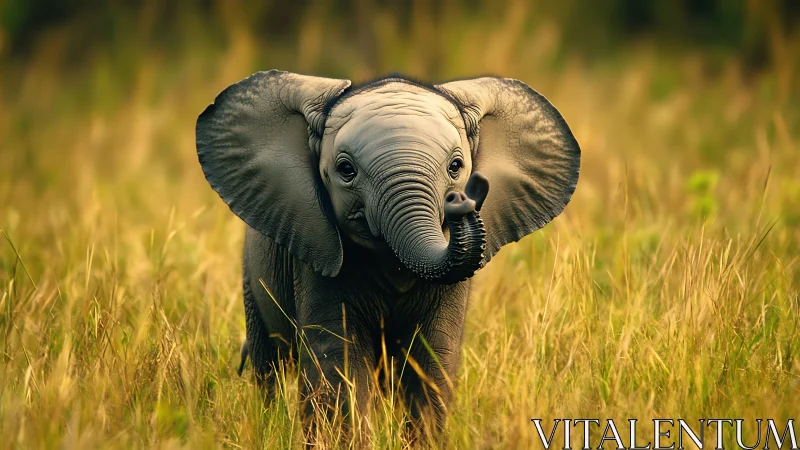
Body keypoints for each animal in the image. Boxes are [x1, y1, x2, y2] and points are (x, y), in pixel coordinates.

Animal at [195, 70, 580, 434]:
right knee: (269, 364)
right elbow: (340, 362)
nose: (463, 198)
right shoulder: (319, 256)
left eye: (456, 167)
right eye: (346, 170)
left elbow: (432, 359)